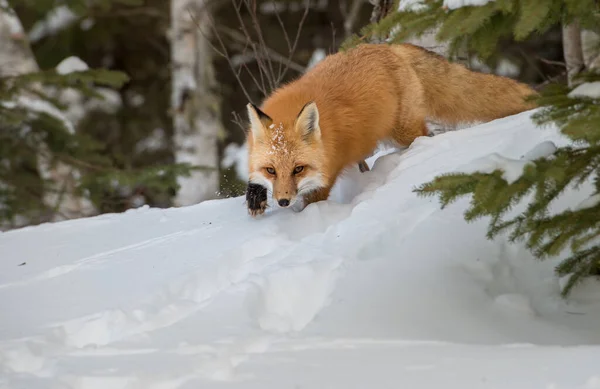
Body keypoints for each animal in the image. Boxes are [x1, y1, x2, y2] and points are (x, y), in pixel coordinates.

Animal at [244, 44, 540, 217]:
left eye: (299, 169)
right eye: (271, 170)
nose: (283, 201)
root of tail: (388, 46)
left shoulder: (327, 175)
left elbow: (312, 203)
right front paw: (255, 197)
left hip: (404, 132)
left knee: (429, 137)